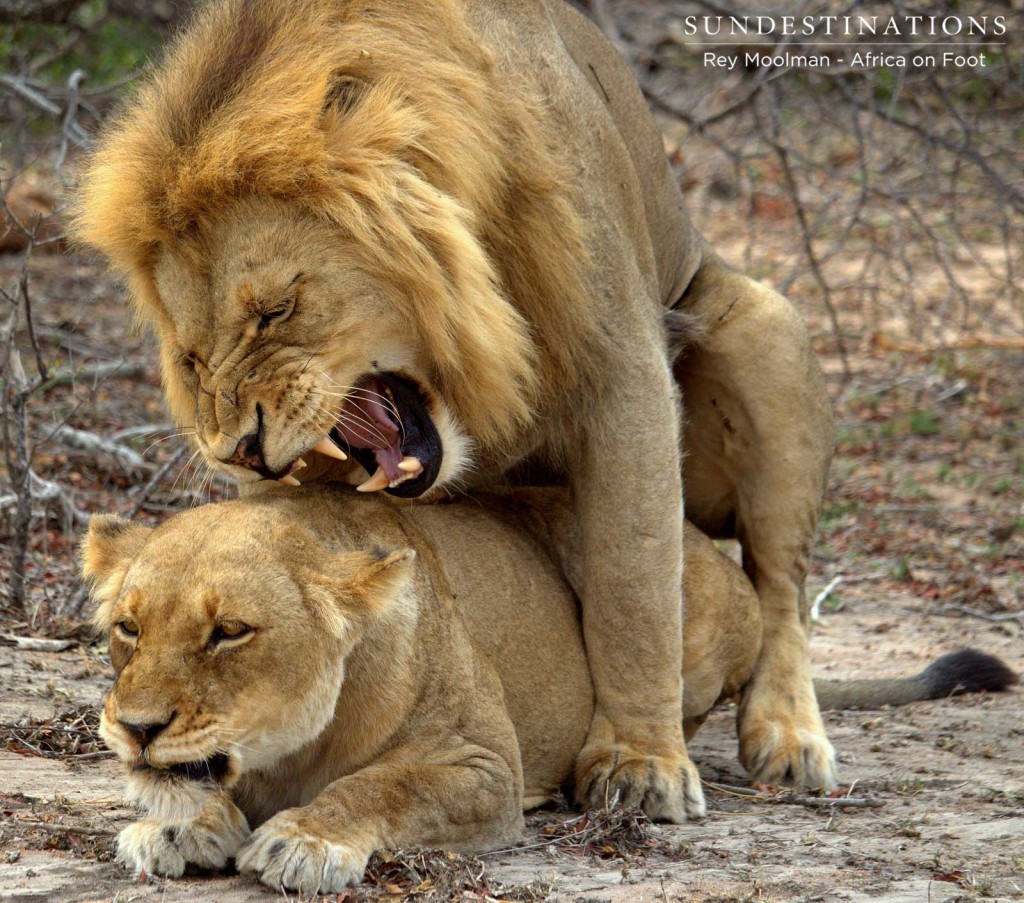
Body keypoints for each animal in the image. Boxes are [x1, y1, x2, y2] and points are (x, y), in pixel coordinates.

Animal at [75, 0, 835, 810]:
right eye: (190, 358)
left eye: (275, 311)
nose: (239, 450)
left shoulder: (623, 367)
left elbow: (636, 587)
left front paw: (641, 762)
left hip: (766, 329)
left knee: (780, 591)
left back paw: (789, 738)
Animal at [88, 481, 1015, 888]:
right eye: (128, 627)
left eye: (229, 631)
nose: (134, 726)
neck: (287, 751)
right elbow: (191, 789)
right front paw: (177, 827)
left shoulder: (481, 766)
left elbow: (377, 785)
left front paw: (303, 839)